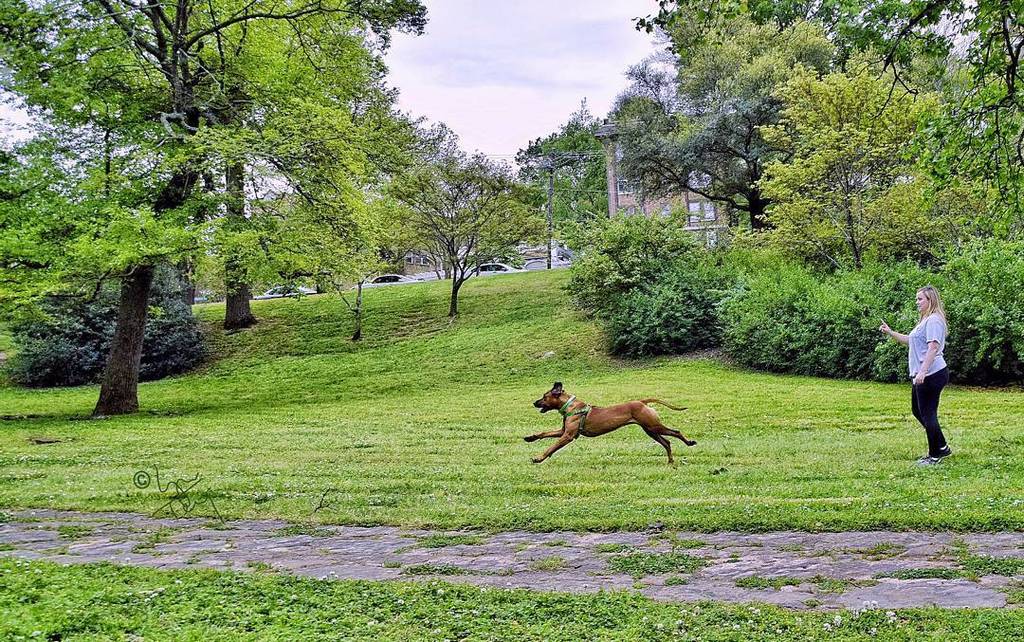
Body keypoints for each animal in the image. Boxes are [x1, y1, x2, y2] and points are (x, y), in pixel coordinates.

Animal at [528, 384, 696, 464]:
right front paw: (530, 437)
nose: (534, 403)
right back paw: (670, 461)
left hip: (653, 426)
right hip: (649, 430)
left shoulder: (568, 436)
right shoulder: (563, 431)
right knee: (666, 442)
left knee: (676, 432)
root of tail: (642, 402)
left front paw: (538, 458)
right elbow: (544, 434)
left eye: (544, 397)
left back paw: (689, 443)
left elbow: (551, 447)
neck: (571, 406)